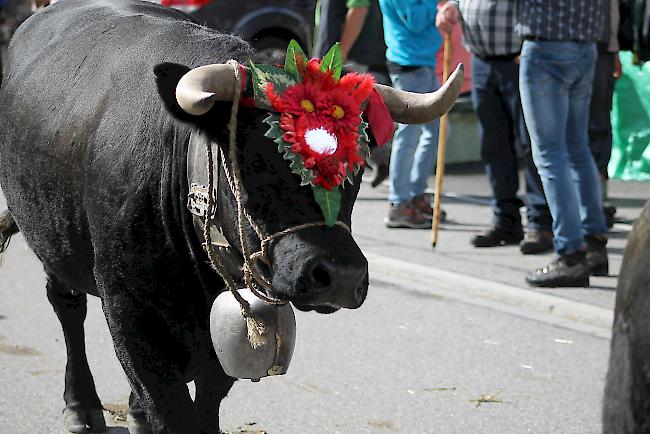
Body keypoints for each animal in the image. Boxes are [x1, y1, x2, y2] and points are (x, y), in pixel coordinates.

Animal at [0, 1, 460, 432]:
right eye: (254, 160)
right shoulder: (128, 312)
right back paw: (81, 406)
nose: (341, 276)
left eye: (358, 164)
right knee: (67, 309)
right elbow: (171, 410)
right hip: (51, 240)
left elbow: (206, 404)